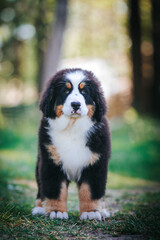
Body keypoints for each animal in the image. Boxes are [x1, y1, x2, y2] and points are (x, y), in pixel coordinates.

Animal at [31, 68, 110, 220]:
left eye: (84, 91)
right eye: (65, 91)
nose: (76, 104)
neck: (72, 127)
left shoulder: (95, 163)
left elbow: (90, 190)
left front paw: (91, 212)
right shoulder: (51, 162)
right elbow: (55, 189)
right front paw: (56, 211)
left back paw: (103, 210)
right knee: (40, 187)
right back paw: (39, 208)